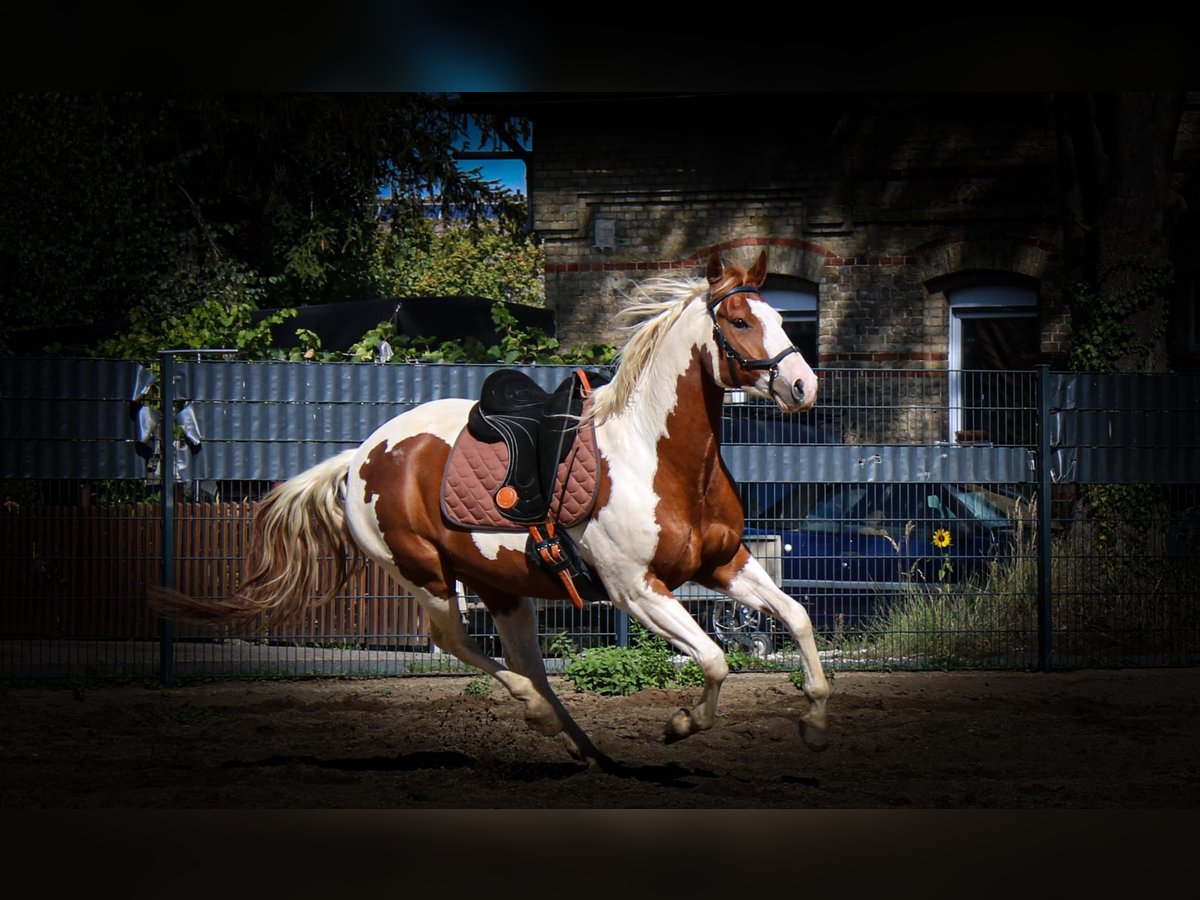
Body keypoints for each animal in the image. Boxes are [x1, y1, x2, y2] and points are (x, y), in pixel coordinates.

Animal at [145, 250, 830, 772]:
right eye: (738, 320)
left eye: (778, 315)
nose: (805, 386)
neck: (654, 456)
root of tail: (361, 454)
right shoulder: (637, 590)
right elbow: (714, 659)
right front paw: (680, 724)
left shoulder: (726, 563)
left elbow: (796, 617)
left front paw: (815, 723)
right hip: (424, 573)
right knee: (457, 642)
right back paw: (538, 715)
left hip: (501, 584)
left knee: (529, 662)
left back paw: (586, 750)